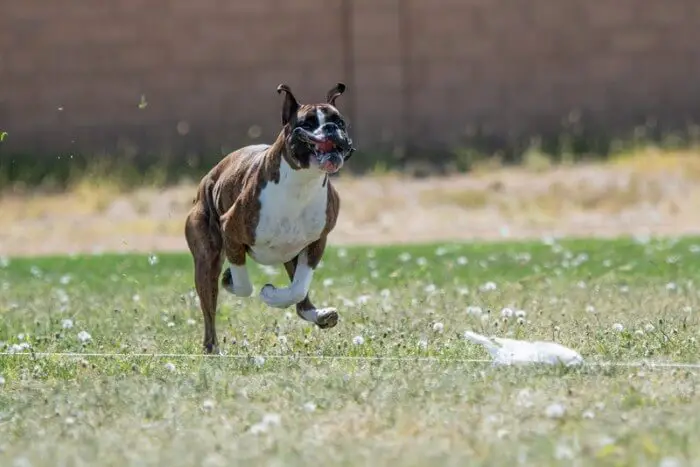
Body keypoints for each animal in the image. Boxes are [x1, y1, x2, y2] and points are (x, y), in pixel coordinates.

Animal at [185, 82, 356, 352]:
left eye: (339, 122)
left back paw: (318, 315)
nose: (330, 128)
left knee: (301, 300)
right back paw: (213, 349)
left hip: (289, 254)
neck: (301, 183)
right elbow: (244, 286)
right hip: (207, 259)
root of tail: (207, 180)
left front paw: (273, 296)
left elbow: (298, 289)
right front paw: (243, 285)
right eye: (307, 123)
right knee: (209, 311)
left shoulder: (316, 244)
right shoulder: (231, 233)